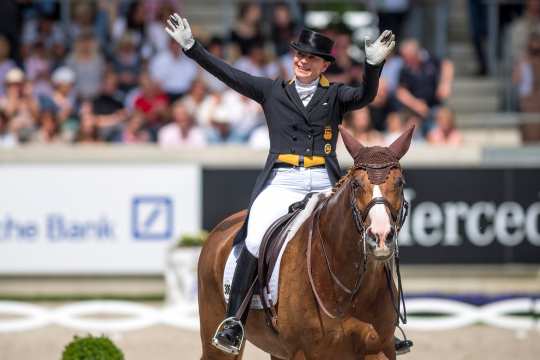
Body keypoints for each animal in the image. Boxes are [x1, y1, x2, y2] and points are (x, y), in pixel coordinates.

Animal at [198, 125, 414, 358]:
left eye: (400, 183)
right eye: (356, 185)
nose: (380, 237)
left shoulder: (379, 349)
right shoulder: (303, 352)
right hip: (218, 344)